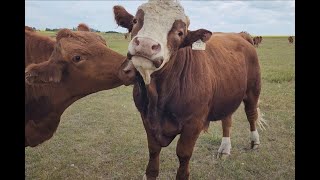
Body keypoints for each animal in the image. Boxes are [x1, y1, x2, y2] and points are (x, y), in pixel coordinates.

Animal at [112, 1, 264, 179]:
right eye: (135, 21)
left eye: (180, 33)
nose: (145, 44)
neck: (158, 98)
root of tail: (240, 35)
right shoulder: (146, 118)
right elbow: (153, 152)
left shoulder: (194, 123)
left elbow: (183, 154)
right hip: (228, 92)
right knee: (227, 119)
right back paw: (225, 149)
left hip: (253, 89)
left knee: (251, 114)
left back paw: (255, 142)